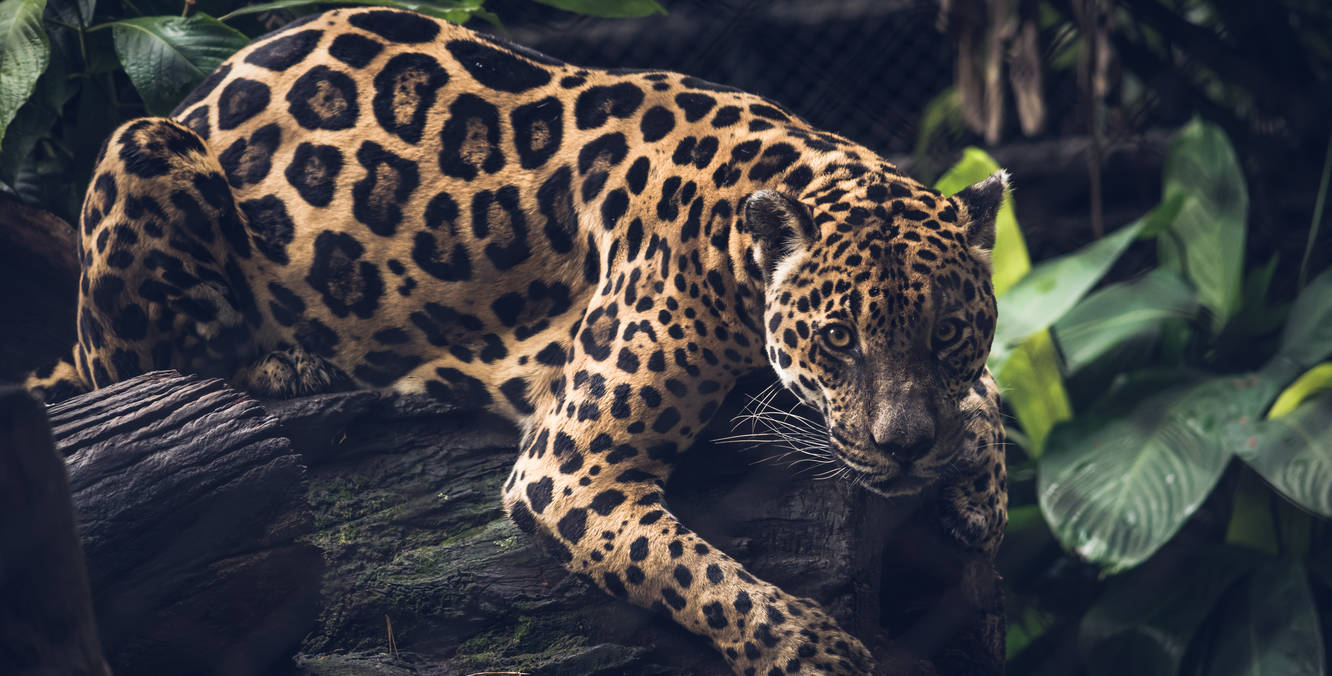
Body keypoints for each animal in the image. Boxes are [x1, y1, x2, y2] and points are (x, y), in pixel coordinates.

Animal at [26, 8, 1008, 674]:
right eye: (838, 339)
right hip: (143, 140)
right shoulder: (567, 468)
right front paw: (808, 646)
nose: (906, 451)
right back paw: (292, 363)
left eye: (950, 333)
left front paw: (979, 489)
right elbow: (691, 571)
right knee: (137, 365)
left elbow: (984, 396)